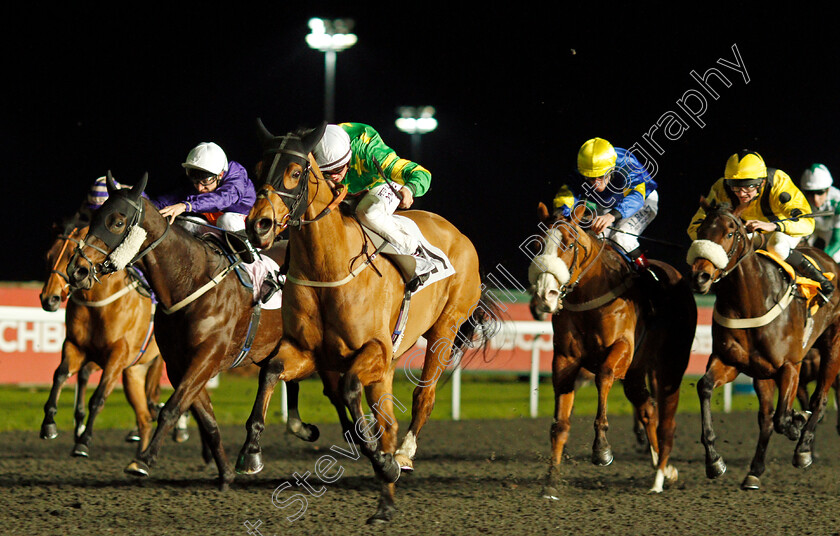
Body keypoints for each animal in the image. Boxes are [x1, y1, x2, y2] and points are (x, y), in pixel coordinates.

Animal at [39, 209, 164, 456]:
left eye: (70, 255)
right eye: (49, 256)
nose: (49, 299)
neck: (98, 303)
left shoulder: (117, 355)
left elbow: (98, 397)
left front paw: (83, 440)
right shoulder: (75, 346)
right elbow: (60, 374)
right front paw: (49, 423)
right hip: (134, 370)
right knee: (145, 416)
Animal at [65, 173, 346, 490]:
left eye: (117, 221)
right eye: (94, 217)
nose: (77, 270)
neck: (190, 279)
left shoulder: (206, 357)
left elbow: (172, 408)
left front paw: (143, 460)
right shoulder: (179, 365)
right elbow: (207, 420)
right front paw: (225, 474)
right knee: (286, 379)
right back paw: (298, 429)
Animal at [235, 121, 486, 524]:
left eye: (295, 172)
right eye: (258, 170)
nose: (259, 224)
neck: (329, 267)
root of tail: (457, 233)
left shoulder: (374, 349)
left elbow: (351, 393)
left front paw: (385, 462)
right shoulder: (307, 351)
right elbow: (271, 371)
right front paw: (251, 450)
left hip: (444, 328)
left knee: (423, 395)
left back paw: (403, 455)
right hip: (390, 361)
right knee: (387, 420)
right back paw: (385, 504)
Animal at [528, 202, 700, 494]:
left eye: (569, 244)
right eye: (538, 245)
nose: (544, 295)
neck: (590, 295)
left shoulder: (623, 347)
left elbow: (604, 375)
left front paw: (601, 449)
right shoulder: (564, 359)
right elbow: (560, 423)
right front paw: (551, 482)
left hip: (670, 362)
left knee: (664, 409)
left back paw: (664, 471)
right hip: (636, 372)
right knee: (647, 408)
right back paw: (663, 468)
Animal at [684, 198, 840, 490]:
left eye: (730, 233)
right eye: (700, 230)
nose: (700, 277)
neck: (751, 301)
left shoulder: (790, 365)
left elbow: (783, 417)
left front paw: (797, 425)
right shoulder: (731, 361)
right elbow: (705, 387)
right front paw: (714, 461)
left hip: (833, 347)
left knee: (820, 398)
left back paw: (803, 448)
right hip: (763, 373)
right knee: (766, 418)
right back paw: (754, 471)